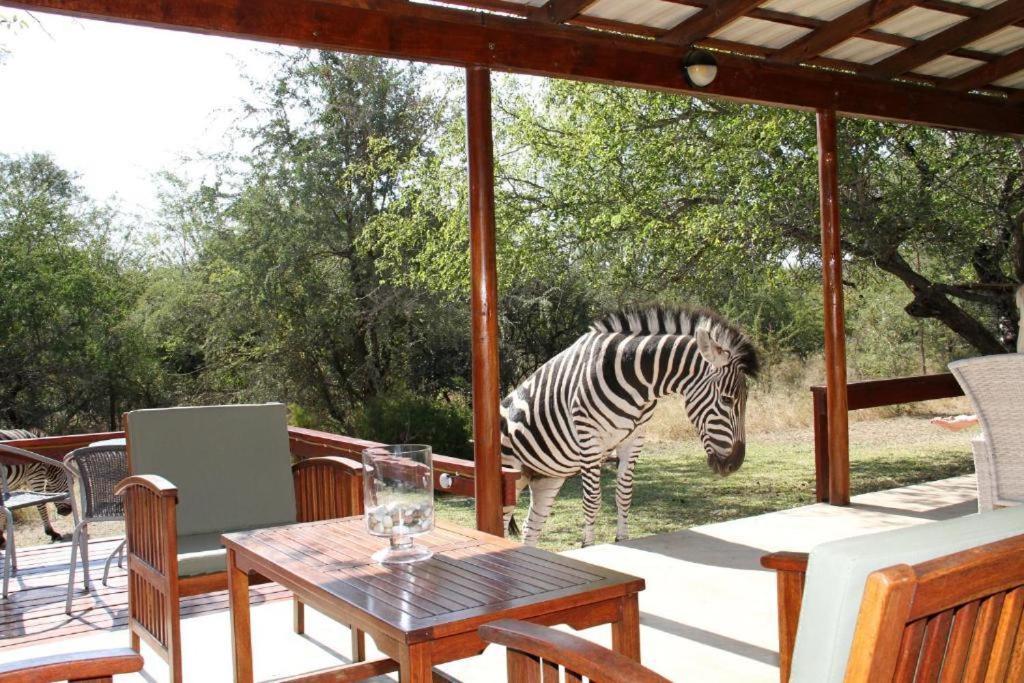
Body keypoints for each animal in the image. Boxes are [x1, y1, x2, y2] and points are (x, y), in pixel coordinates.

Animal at [499, 307, 757, 548]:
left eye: (745, 401)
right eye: (726, 400)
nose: (735, 464)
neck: (636, 380)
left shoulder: (634, 439)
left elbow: (624, 494)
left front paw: (622, 539)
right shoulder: (589, 440)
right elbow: (592, 500)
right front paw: (588, 546)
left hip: (546, 477)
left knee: (530, 527)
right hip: (511, 473)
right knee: (502, 523)